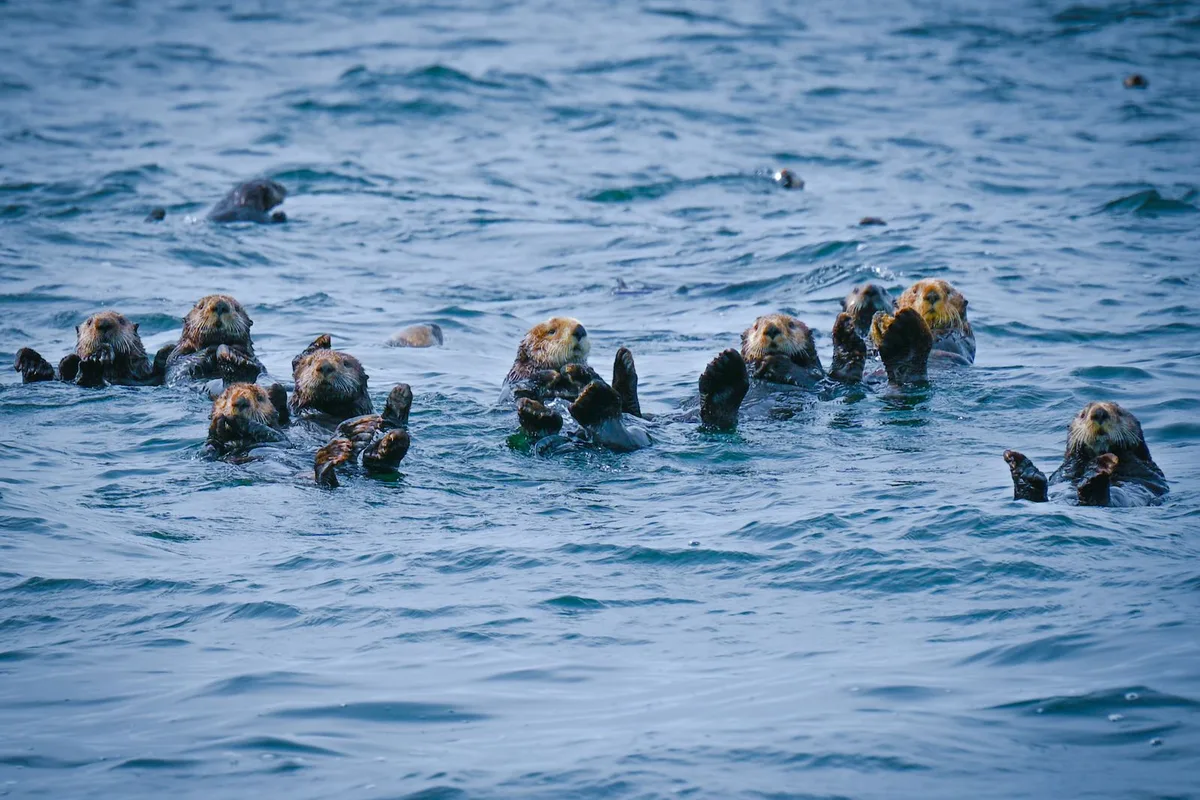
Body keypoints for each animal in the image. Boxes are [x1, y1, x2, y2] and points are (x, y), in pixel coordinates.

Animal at [1003, 402, 1168, 507]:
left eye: (1119, 413)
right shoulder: (1067, 468)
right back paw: (1022, 471)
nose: (1099, 413)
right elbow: (1068, 468)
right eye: (1083, 415)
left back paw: (1097, 473)